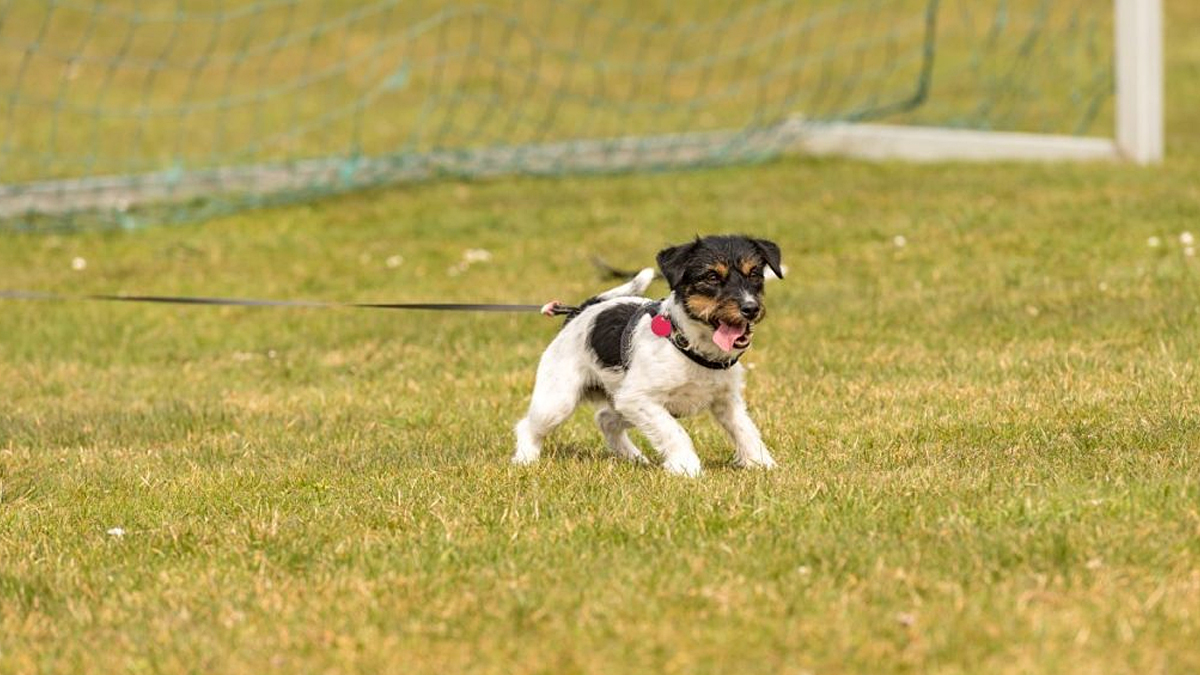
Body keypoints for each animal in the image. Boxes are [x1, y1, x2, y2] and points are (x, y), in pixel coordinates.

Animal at [511, 234, 782, 475]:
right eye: (712, 276)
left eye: (755, 274)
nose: (750, 308)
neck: (690, 344)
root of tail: (580, 312)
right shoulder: (639, 399)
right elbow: (675, 433)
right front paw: (687, 467)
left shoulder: (727, 401)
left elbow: (746, 430)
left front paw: (762, 463)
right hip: (558, 401)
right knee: (528, 426)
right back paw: (525, 458)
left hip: (621, 403)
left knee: (605, 419)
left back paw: (633, 457)